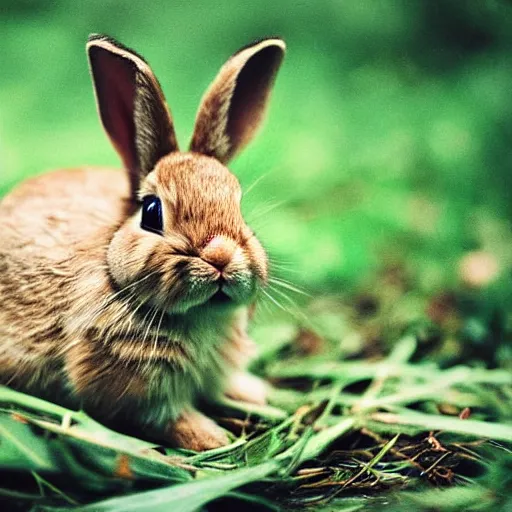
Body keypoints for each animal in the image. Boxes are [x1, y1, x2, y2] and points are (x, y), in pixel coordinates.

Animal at [0, 35, 284, 452]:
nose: (220, 256)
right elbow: (168, 417)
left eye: (238, 204)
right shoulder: (139, 390)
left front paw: (255, 395)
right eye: (151, 212)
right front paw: (211, 437)